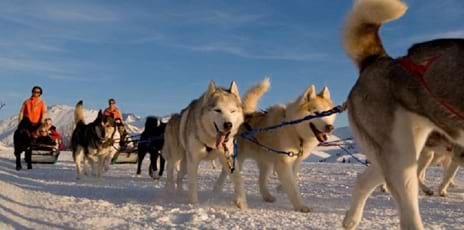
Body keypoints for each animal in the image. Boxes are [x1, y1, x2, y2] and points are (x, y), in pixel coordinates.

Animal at [214, 79, 334, 212]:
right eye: (317, 113)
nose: (330, 127)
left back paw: (267, 196)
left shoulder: (295, 160)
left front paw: (281, 187)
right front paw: (300, 206)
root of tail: (246, 114)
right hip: (238, 159)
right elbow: (293, 187)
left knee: (260, 181)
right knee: (226, 173)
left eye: (329, 113)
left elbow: (293, 176)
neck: (294, 129)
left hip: (265, 163)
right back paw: (217, 190)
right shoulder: (283, 163)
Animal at [340, 0, 464, 228]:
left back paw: (351, 220)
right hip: (400, 157)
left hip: (399, 154)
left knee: (363, 180)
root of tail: (380, 60)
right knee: (408, 213)